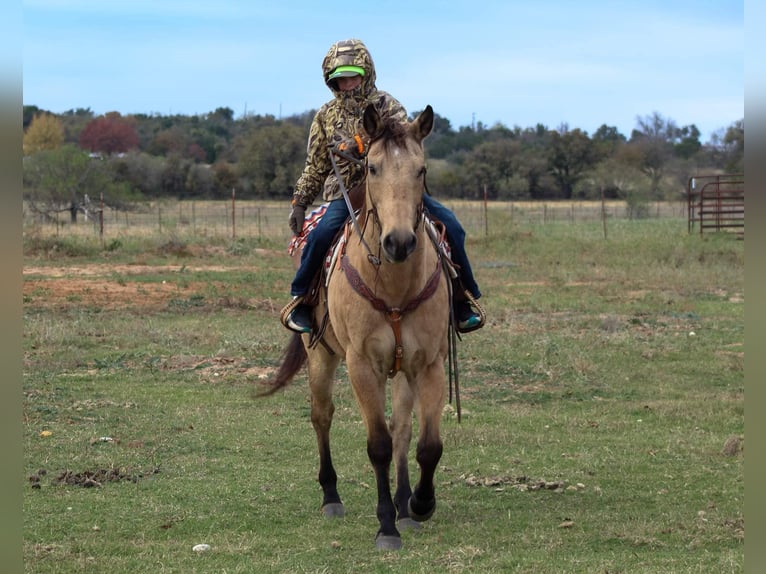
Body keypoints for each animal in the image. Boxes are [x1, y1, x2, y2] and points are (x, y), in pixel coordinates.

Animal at [261, 104, 450, 550]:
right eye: (373, 168)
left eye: (421, 169)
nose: (399, 242)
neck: (395, 286)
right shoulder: (361, 364)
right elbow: (378, 445)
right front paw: (386, 527)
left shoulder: (428, 363)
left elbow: (426, 444)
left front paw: (418, 505)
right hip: (320, 356)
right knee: (321, 415)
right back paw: (331, 496)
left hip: (401, 369)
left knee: (402, 428)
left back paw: (404, 503)